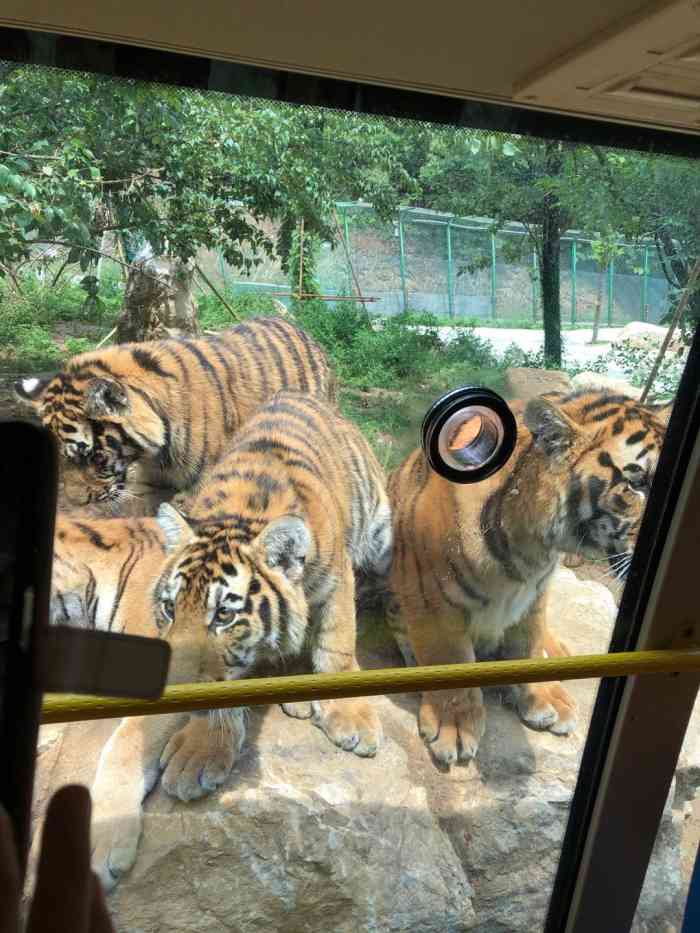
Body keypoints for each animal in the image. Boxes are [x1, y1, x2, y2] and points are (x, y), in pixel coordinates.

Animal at [86, 390, 394, 892]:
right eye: (170, 608)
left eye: (224, 615)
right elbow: (129, 742)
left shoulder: (337, 579)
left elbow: (336, 643)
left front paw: (351, 719)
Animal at [388, 390, 668, 768]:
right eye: (636, 485)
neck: (535, 547)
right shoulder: (432, 594)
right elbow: (449, 655)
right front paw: (454, 725)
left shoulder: (535, 593)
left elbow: (529, 641)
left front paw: (542, 698)